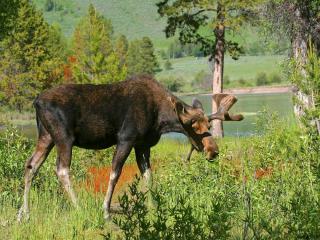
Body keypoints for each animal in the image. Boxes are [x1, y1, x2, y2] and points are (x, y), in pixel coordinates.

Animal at [16, 74, 242, 221]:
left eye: (209, 127)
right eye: (194, 127)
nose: (213, 151)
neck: (161, 119)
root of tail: (36, 101)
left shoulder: (143, 145)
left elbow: (148, 175)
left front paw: (154, 206)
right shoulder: (126, 138)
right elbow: (115, 173)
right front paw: (105, 210)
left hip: (46, 137)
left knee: (31, 165)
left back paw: (23, 212)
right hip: (64, 137)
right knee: (62, 169)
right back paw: (78, 207)